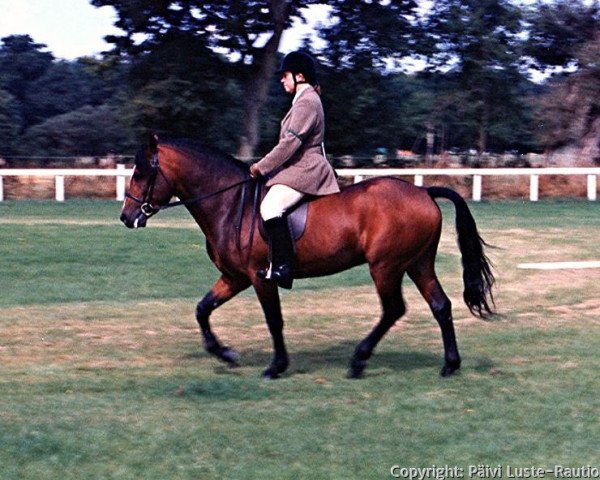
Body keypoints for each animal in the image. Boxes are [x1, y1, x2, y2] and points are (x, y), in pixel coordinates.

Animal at [119, 137, 494, 380]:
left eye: (141, 173)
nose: (126, 217)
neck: (231, 203)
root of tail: (423, 191)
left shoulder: (259, 276)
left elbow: (274, 320)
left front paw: (276, 367)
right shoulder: (235, 277)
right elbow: (202, 309)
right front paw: (225, 354)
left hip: (386, 267)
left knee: (393, 309)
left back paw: (358, 362)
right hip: (417, 264)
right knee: (440, 305)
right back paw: (450, 364)